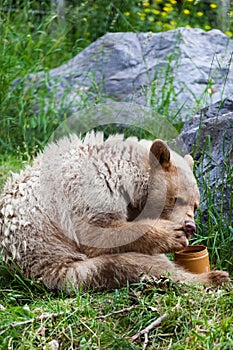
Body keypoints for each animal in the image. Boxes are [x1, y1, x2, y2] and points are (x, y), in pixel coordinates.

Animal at [0, 133, 229, 292]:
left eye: (196, 205)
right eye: (177, 199)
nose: (189, 226)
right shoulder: (88, 192)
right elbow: (99, 233)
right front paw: (171, 234)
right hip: (61, 263)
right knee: (133, 265)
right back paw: (212, 278)